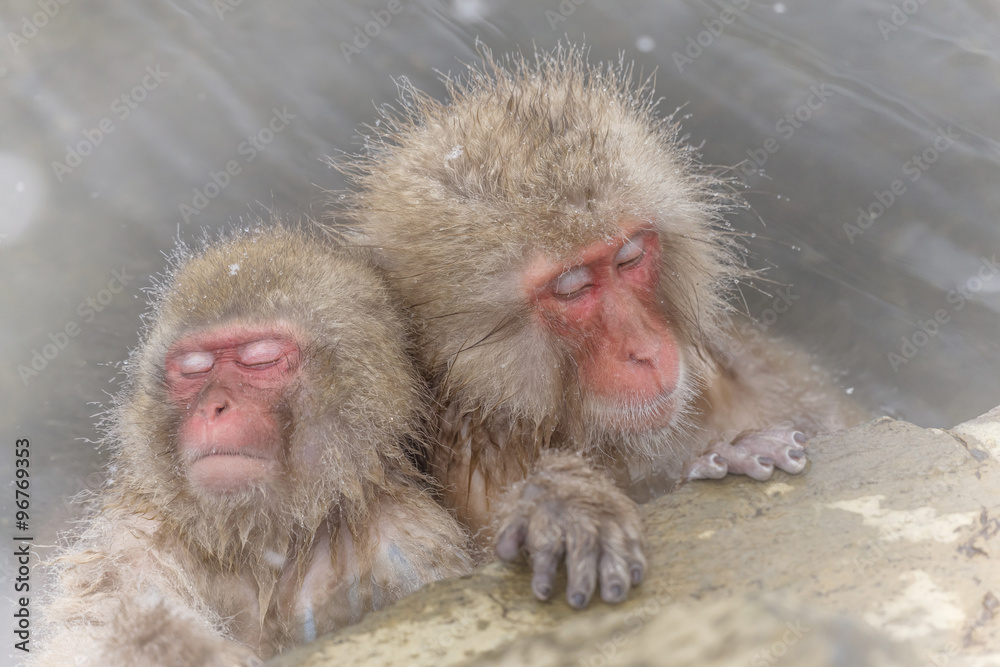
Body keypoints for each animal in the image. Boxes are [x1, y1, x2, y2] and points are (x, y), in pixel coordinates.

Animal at [32, 225, 473, 666]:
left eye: (260, 360)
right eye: (194, 370)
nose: (212, 407)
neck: (265, 543)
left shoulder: (408, 544)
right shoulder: (132, 542)